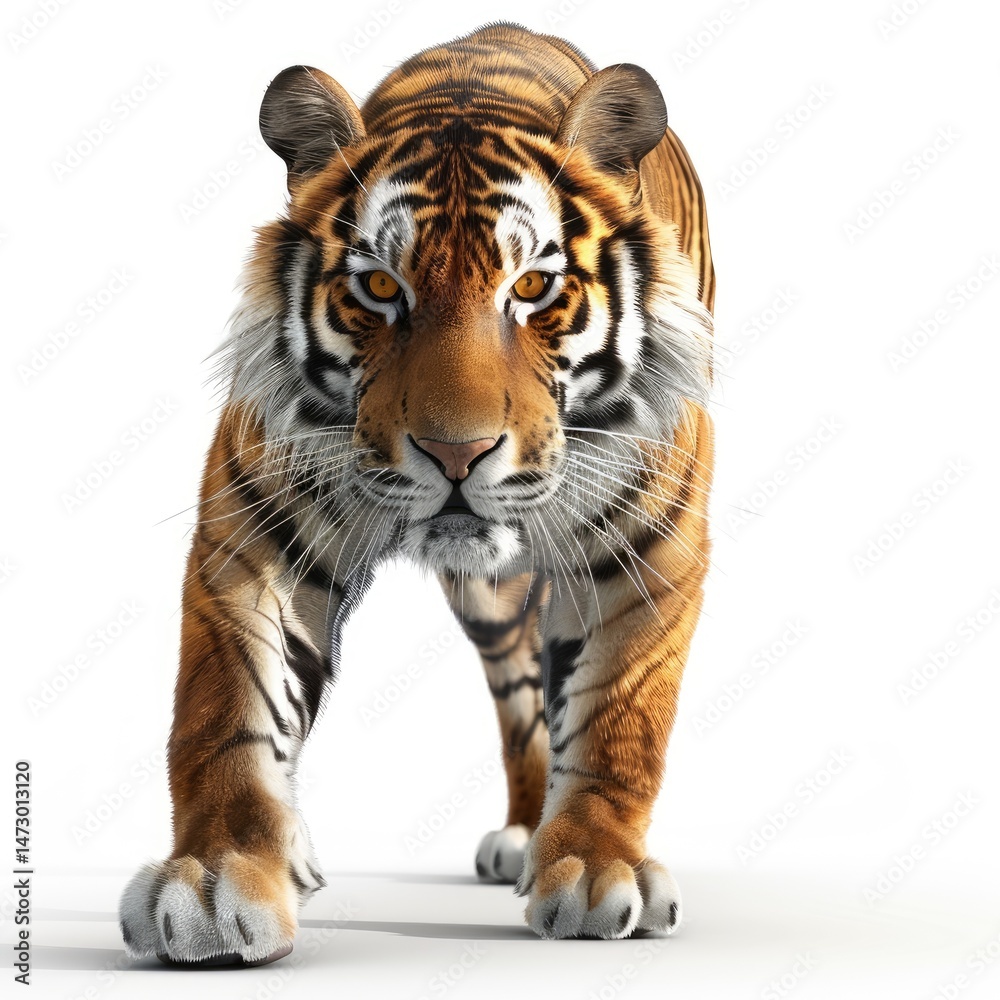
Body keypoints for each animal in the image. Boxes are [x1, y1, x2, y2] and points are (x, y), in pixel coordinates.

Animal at [119, 22, 715, 965]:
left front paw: (594, 870)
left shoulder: (648, 546)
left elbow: (618, 717)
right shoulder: (258, 530)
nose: (456, 453)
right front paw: (216, 881)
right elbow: (227, 711)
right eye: (379, 287)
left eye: (532, 287)